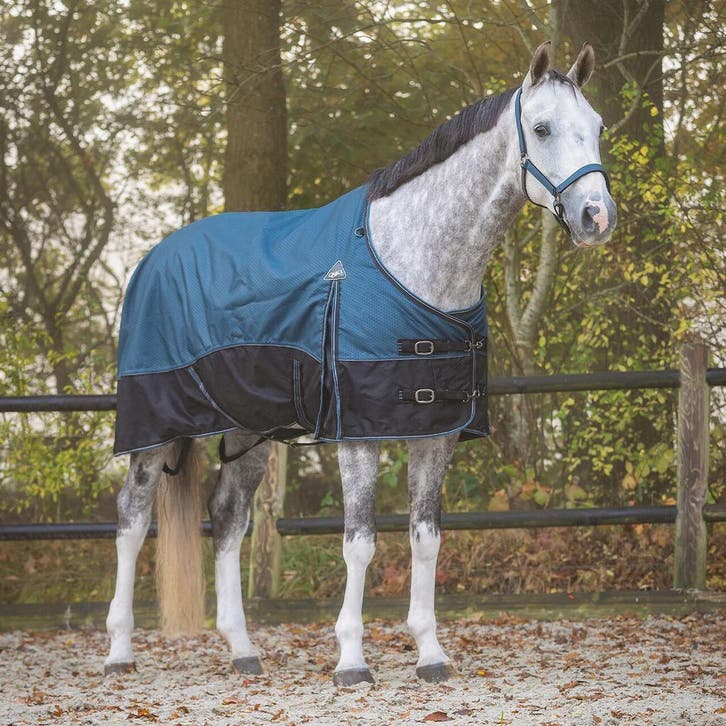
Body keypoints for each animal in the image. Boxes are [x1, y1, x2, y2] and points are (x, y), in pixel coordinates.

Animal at [104, 41, 616, 685]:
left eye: (597, 126)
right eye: (542, 128)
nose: (597, 216)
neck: (414, 263)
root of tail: (151, 258)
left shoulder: (436, 432)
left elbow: (425, 539)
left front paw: (430, 653)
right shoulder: (358, 431)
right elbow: (361, 542)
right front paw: (351, 661)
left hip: (249, 429)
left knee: (227, 519)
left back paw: (243, 649)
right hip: (153, 427)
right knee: (131, 519)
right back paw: (119, 651)